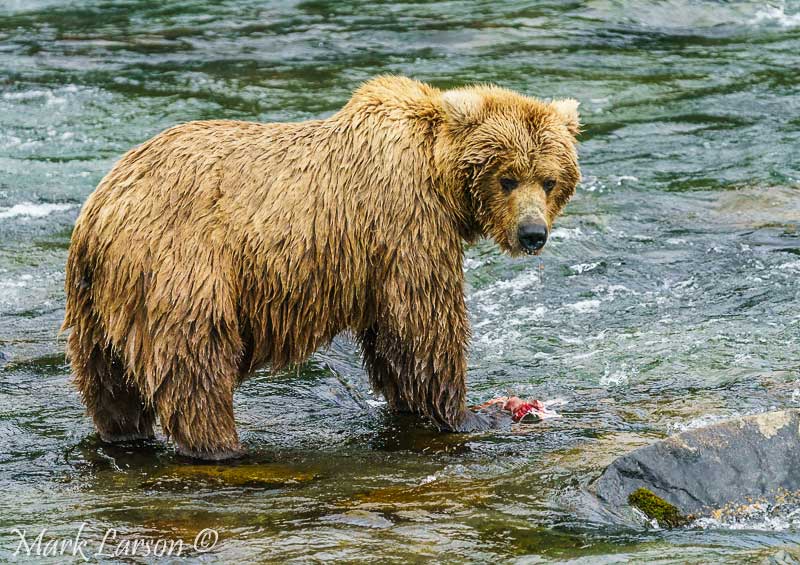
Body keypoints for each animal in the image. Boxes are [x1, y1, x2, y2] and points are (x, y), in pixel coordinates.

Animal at [61, 76, 576, 458]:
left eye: (549, 180)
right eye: (507, 177)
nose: (533, 233)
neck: (440, 178)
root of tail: (101, 208)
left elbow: (390, 340)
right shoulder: (405, 224)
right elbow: (421, 325)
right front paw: (473, 412)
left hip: (98, 299)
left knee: (107, 377)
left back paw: (124, 432)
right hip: (183, 265)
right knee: (195, 362)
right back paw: (223, 445)